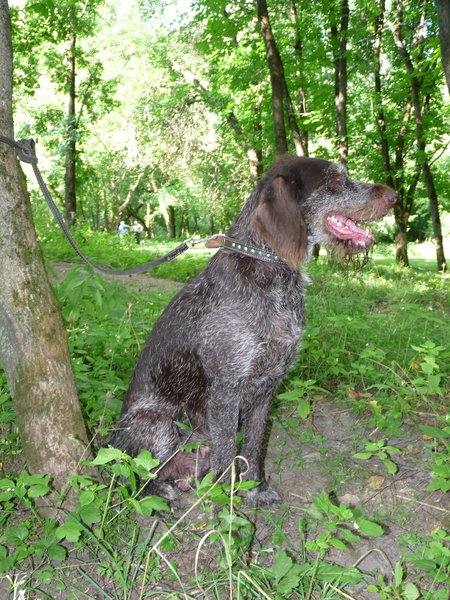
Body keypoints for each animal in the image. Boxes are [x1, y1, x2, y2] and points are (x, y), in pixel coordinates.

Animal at [110, 155, 398, 506]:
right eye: (334, 179)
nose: (394, 196)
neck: (271, 270)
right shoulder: (226, 391)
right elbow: (225, 457)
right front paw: (226, 509)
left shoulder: (267, 388)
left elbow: (253, 446)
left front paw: (255, 489)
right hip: (158, 423)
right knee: (128, 474)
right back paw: (158, 493)